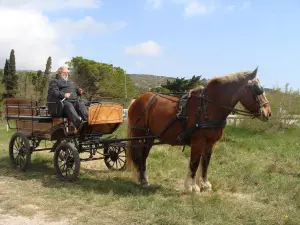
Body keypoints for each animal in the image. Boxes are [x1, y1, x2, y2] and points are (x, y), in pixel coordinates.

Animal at [125, 67, 270, 194]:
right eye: (258, 90)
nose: (268, 112)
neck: (209, 107)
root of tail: (137, 100)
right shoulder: (198, 142)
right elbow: (194, 163)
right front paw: (192, 187)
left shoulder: (211, 143)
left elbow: (205, 163)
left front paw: (205, 185)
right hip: (139, 134)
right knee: (138, 156)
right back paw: (142, 180)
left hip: (149, 136)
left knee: (143, 156)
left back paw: (144, 179)